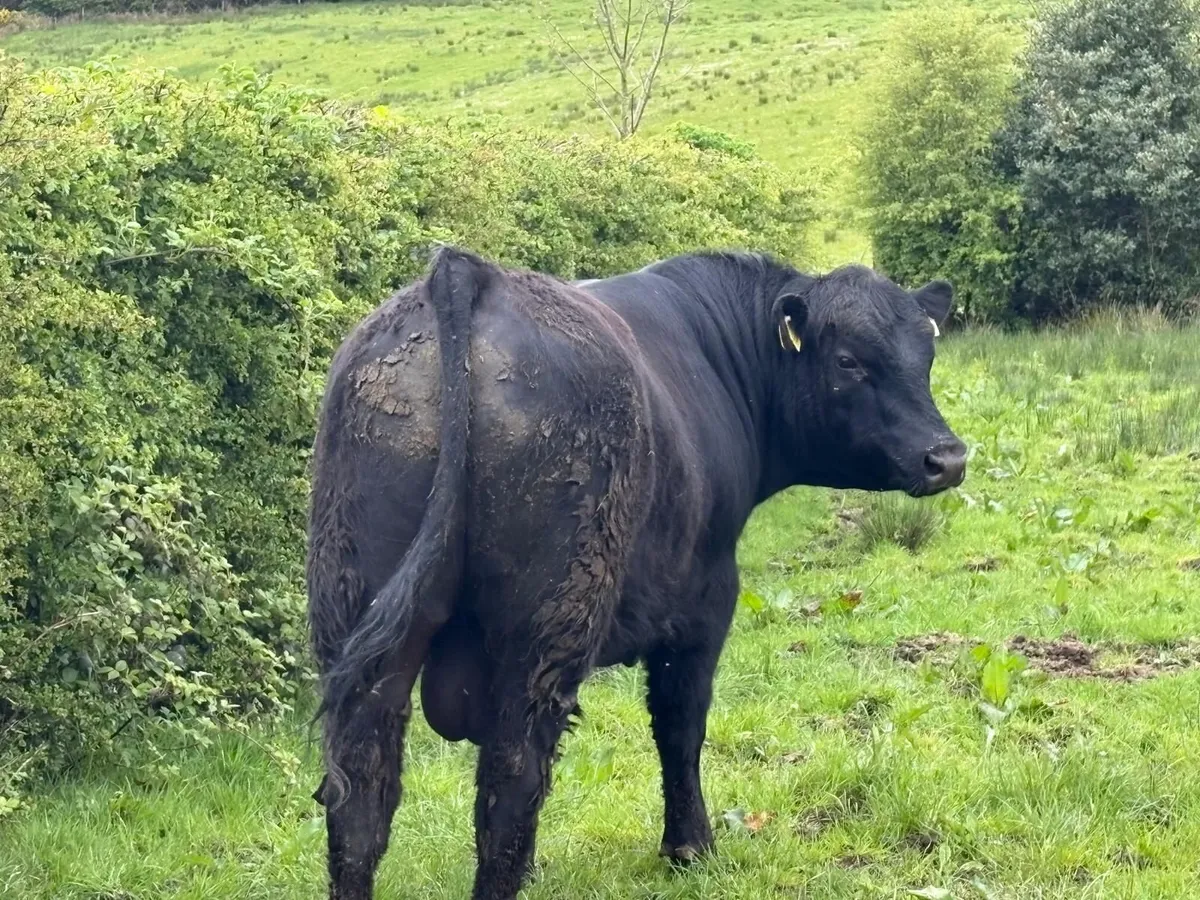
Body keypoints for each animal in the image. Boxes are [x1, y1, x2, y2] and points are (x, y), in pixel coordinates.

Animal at [306, 246, 967, 900]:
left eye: (928, 355)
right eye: (849, 360)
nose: (948, 457)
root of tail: (469, 272)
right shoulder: (705, 601)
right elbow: (680, 725)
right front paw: (690, 847)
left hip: (359, 609)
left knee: (360, 791)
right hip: (548, 622)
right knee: (512, 774)